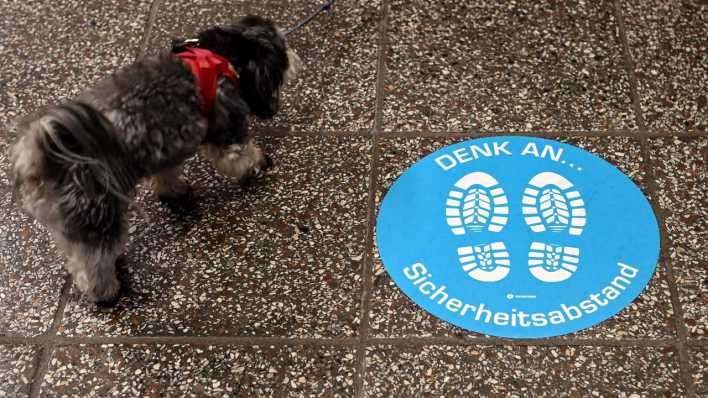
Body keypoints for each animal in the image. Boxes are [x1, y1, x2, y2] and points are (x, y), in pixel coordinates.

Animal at [9, 14, 302, 302]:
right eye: (281, 45)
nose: (296, 53)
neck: (219, 56)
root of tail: (45, 158)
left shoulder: (166, 147)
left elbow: (167, 175)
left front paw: (173, 190)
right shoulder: (226, 126)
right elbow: (239, 154)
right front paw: (257, 164)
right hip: (99, 215)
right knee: (93, 262)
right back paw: (105, 290)